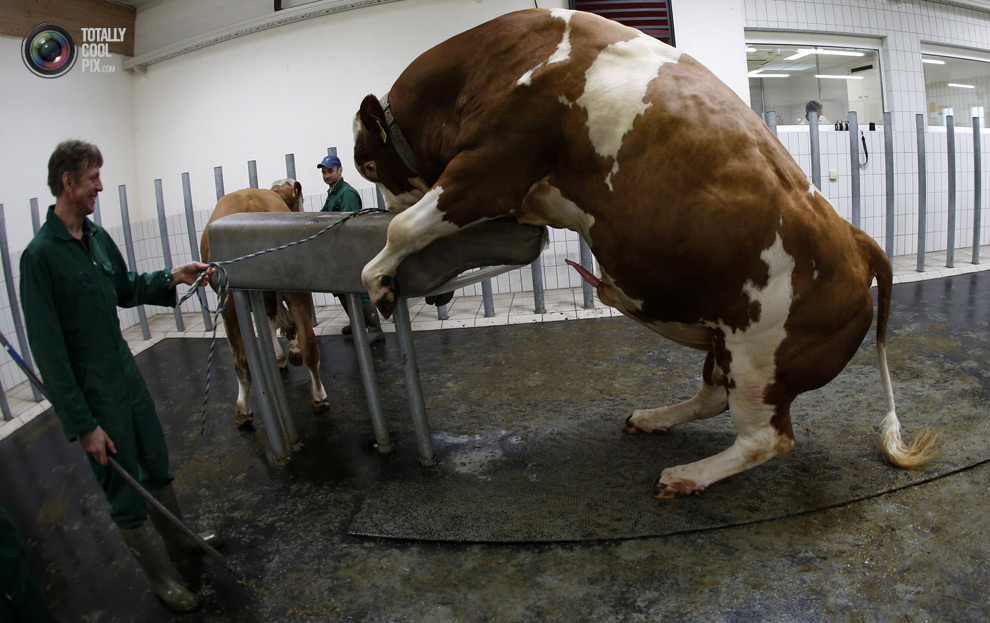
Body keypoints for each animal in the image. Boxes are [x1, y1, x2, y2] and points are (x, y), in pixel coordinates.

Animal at [201, 178, 330, 426]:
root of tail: (253, 205)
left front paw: (281, 355)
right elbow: (274, 321)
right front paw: (286, 353)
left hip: (229, 301)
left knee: (241, 361)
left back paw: (243, 410)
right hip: (295, 284)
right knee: (309, 342)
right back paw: (319, 397)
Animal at [352, 8, 940, 498]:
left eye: (370, 165)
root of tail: (861, 243)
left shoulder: (493, 164)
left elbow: (405, 227)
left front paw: (379, 278)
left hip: (760, 358)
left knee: (766, 439)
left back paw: (684, 476)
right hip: (724, 338)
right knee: (714, 396)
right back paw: (653, 418)